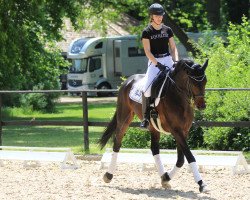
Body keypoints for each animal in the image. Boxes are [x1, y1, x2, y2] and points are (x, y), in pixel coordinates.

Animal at [97, 58, 209, 193]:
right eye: (192, 82)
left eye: (205, 81)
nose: (202, 105)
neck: (178, 96)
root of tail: (128, 81)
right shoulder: (176, 130)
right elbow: (190, 157)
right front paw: (201, 184)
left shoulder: (184, 131)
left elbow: (181, 160)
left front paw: (166, 178)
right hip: (124, 118)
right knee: (117, 142)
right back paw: (108, 175)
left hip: (154, 127)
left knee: (154, 149)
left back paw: (163, 176)